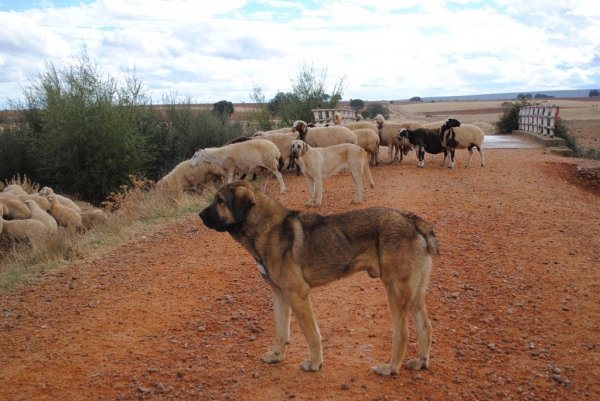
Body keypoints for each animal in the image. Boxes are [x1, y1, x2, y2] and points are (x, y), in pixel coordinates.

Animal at [199, 181, 438, 376]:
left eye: (220, 201)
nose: (200, 214)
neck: (267, 229)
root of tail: (412, 220)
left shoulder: (297, 295)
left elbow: (311, 334)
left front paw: (314, 363)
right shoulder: (279, 295)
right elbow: (280, 330)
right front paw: (277, 356)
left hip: (395, 292)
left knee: (403, 333)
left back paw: (390, 368)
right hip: (413, 294)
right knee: (425, 327)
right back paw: (420, 362)